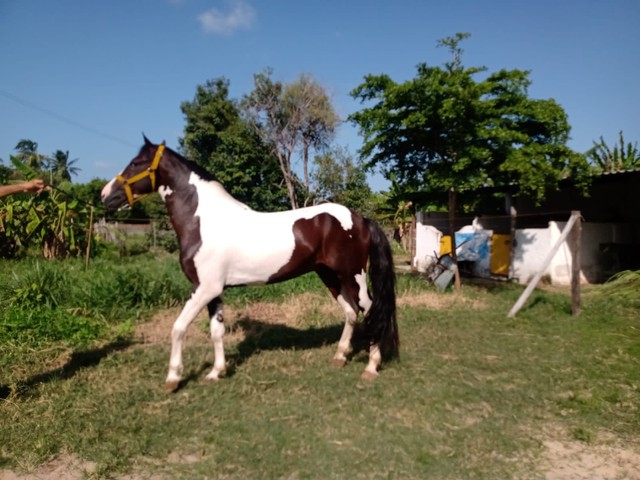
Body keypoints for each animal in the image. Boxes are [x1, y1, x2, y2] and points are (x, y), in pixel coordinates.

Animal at [100, 136, 398, 390]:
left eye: (136, 163)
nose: (104, 195)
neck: (203, 221)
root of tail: (360, 218)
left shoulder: (204, 288)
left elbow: (178, 327)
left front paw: (173, 378)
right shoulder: (214, 291)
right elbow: (216, 331)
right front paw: (216, 372)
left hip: (353, 275)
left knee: (371, 310)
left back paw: (371, 366)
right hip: (330, 276)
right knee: (350, 311)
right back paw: (340, 356)